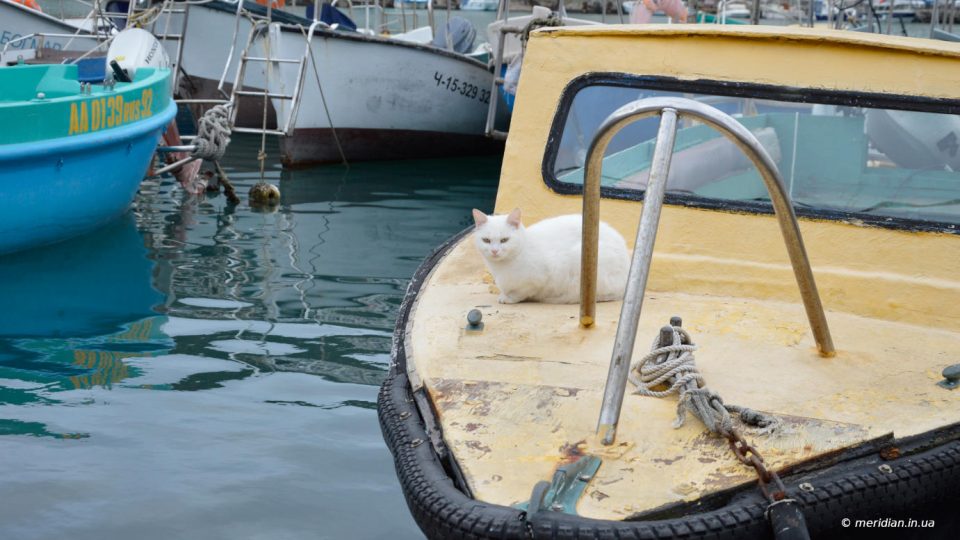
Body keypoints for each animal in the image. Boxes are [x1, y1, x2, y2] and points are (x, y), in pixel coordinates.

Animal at [470, 208, 632, 304]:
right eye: (486, 240)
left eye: (504, 240)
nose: (494, 251)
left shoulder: (538, 278)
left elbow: (521, 292)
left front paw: (509, 298)